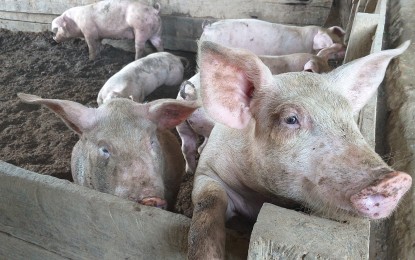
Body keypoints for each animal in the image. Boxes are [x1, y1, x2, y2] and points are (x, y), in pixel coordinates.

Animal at [176, 44, 342, 175]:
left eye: (329, 65)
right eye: (315, 71)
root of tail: (191, 94)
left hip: (182, 126)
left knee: (188, 148)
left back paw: (190, 171)